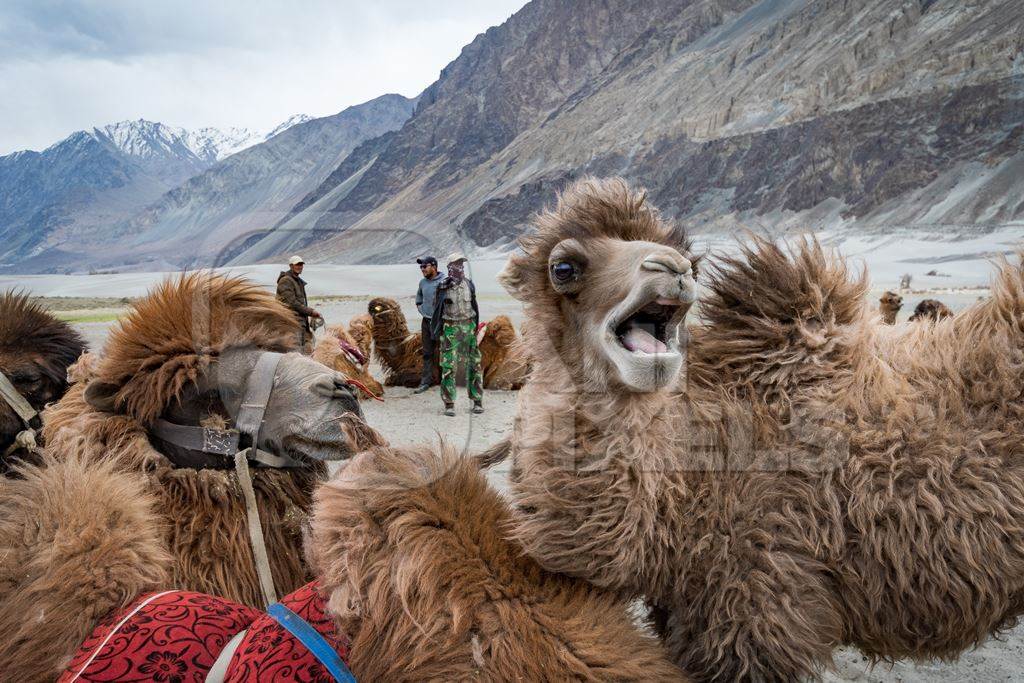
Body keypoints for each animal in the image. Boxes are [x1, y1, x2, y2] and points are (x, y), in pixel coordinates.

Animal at [491, 179, 1024, 679]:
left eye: (692, 260)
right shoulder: (687, 608)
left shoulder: (757, 597)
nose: (673, 269)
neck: (686, 489)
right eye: (563, 268)